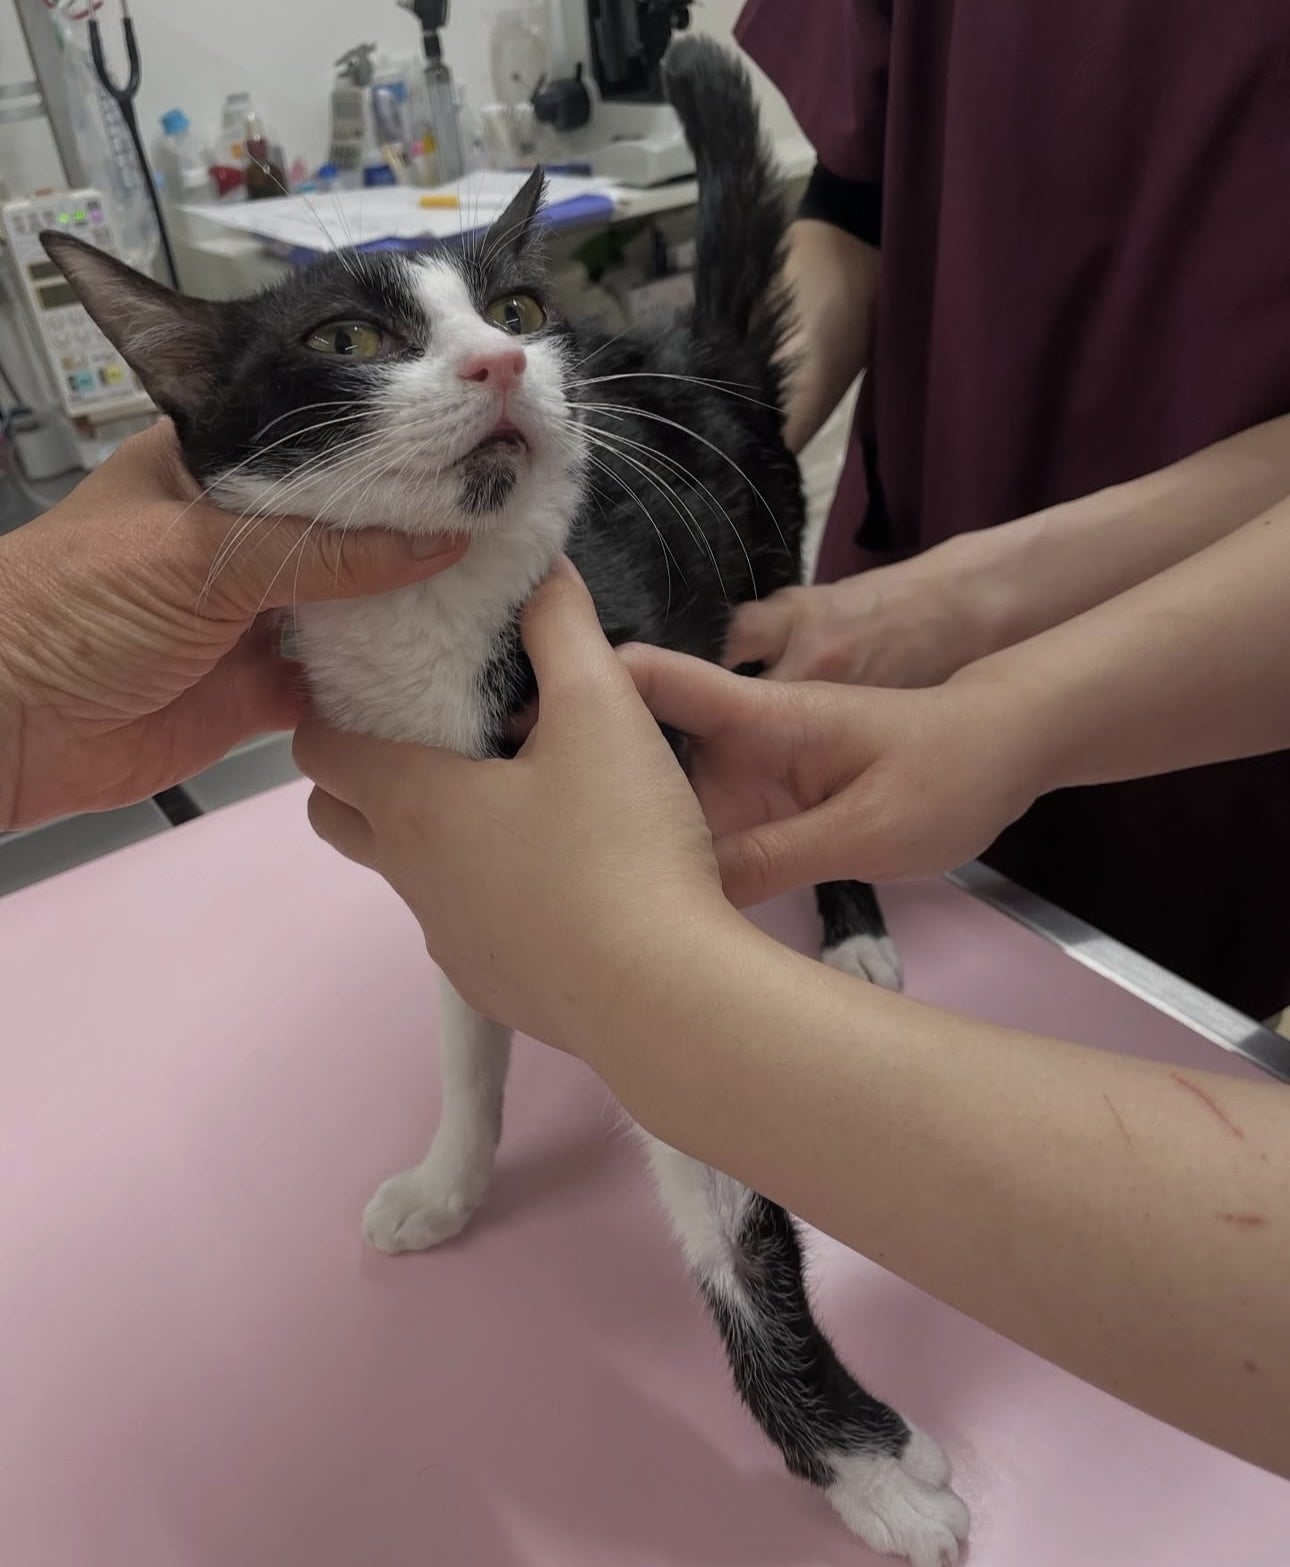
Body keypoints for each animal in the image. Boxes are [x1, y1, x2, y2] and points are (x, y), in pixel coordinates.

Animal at [44, 37, 967, 1567]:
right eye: (345, 343)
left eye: (519, 307)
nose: (504, 357)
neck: (441, 624)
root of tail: (686, 346)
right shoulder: (440, 847)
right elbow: (468, 1036)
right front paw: (447, 1179)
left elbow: (724, 1187)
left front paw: (858, 1457)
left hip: (767, 583)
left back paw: (850, 928)